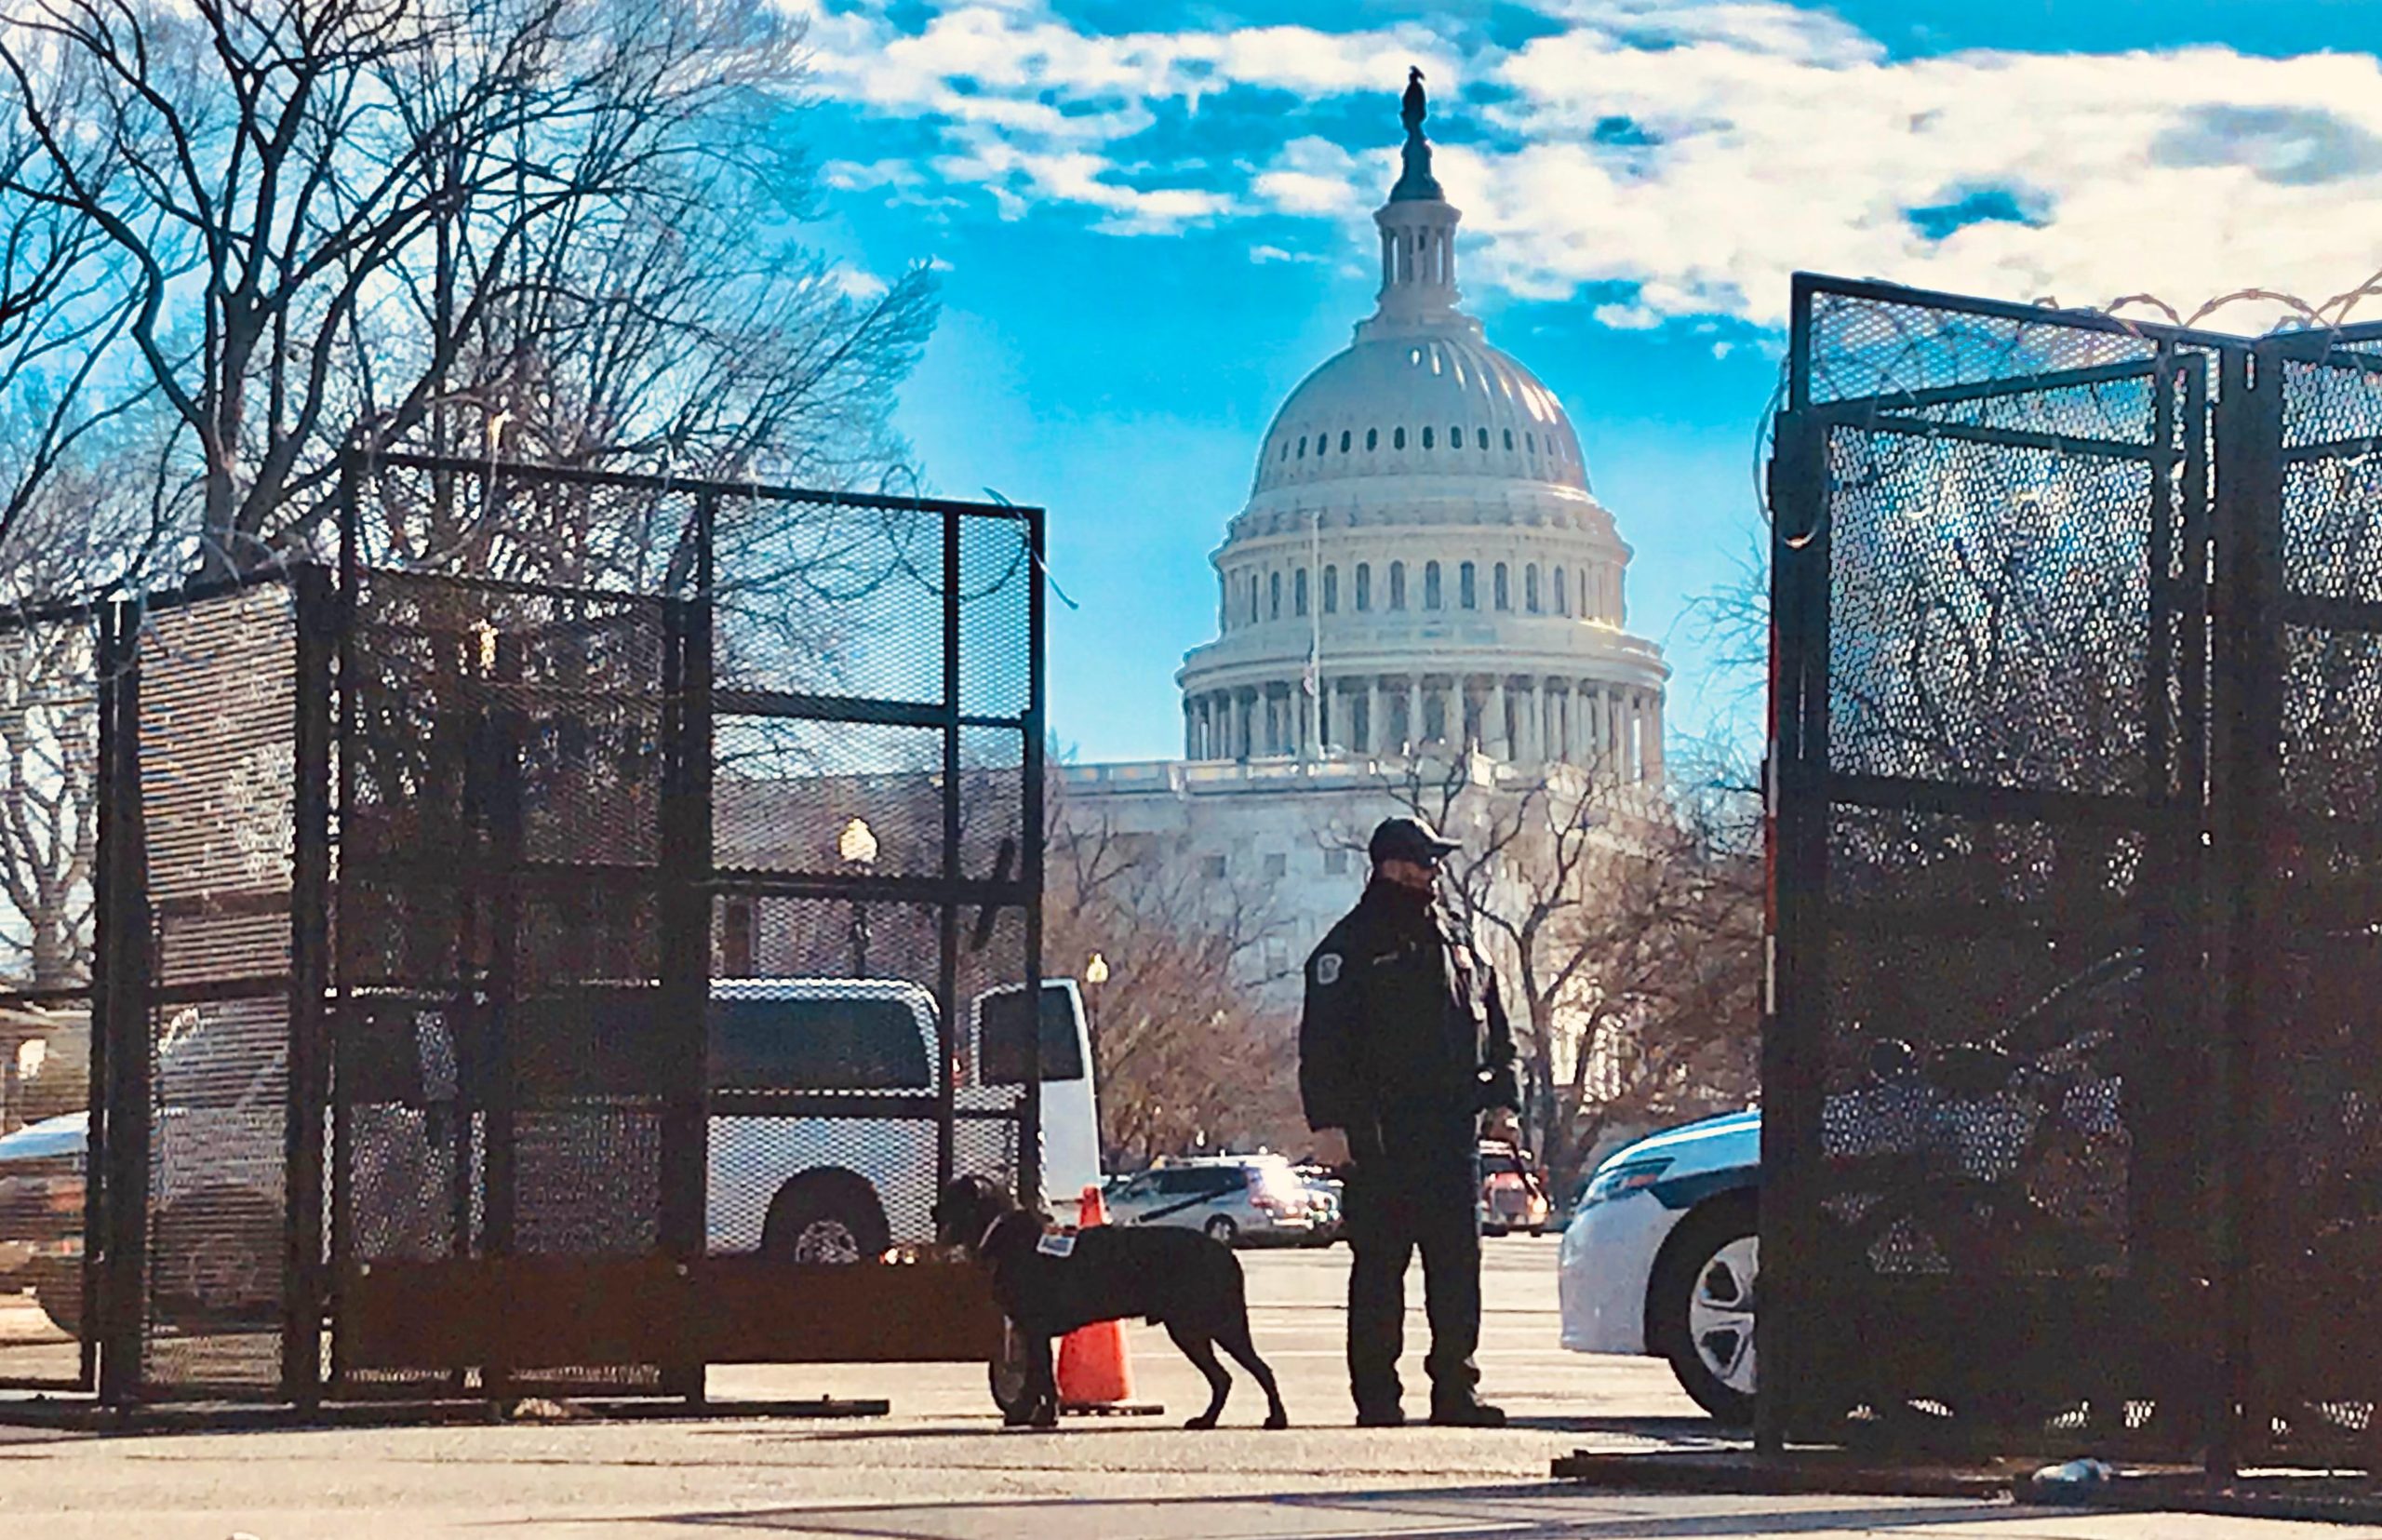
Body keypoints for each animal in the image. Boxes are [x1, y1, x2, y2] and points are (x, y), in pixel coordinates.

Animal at [933, 1182, 1295, 1440]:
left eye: (952, 1195)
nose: (933, 1209)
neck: (1004, 1233)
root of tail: (1225, 1251)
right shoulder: (1031, 1331)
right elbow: (1040, 1378)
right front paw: (1034, 1414)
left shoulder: (1034, 1329)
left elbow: (1041, 1378)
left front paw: (1040, 1416)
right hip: (1190, 1330)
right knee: (1223, 1377)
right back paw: (1206, 1420)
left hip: (1219, 1323)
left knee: (1259, 1370)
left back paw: (1276, 1418)